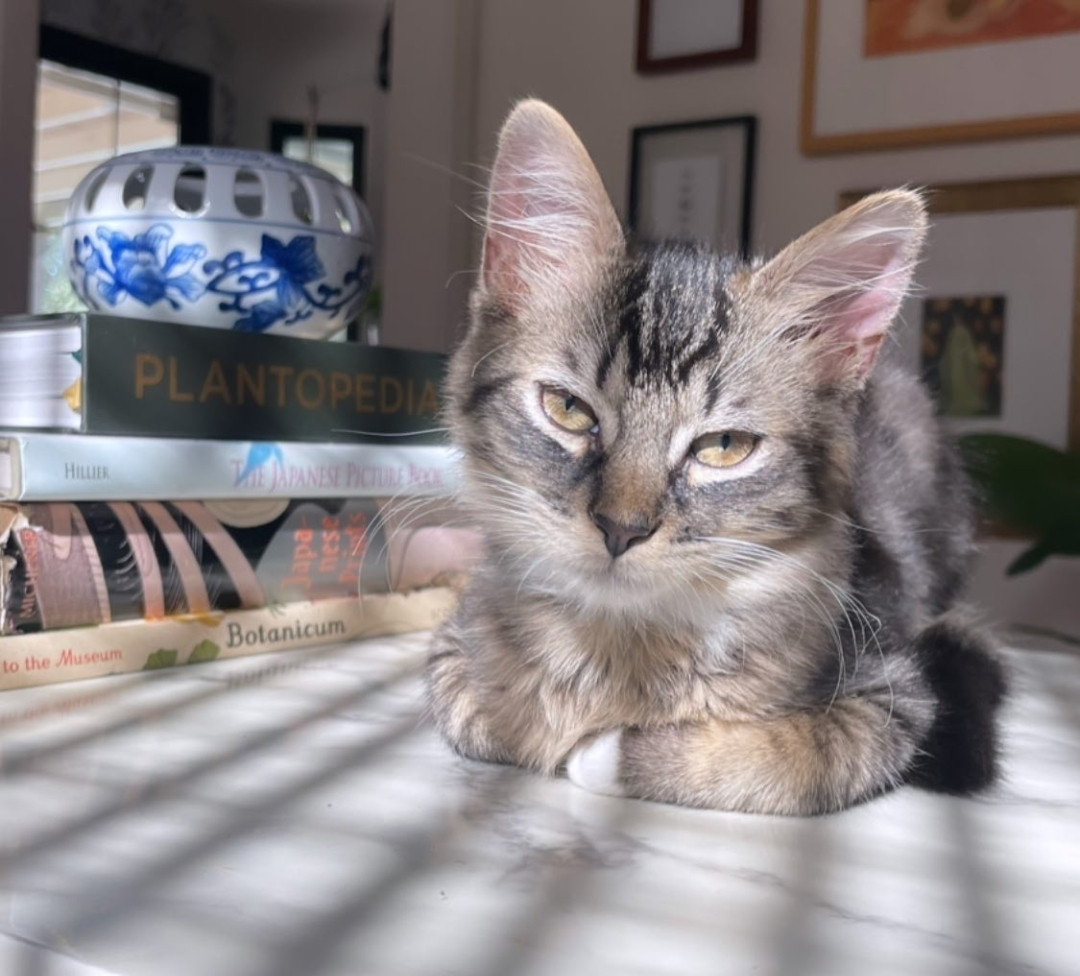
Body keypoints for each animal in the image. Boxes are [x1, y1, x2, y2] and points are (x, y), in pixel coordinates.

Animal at [423, 100, 1002, 816]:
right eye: (568, 409)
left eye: (723, 448)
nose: (620, 528)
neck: (616, 643)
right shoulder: (451, 644)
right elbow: (475, 713)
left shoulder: (891, 692)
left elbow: (782, 759)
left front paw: (601, 753)